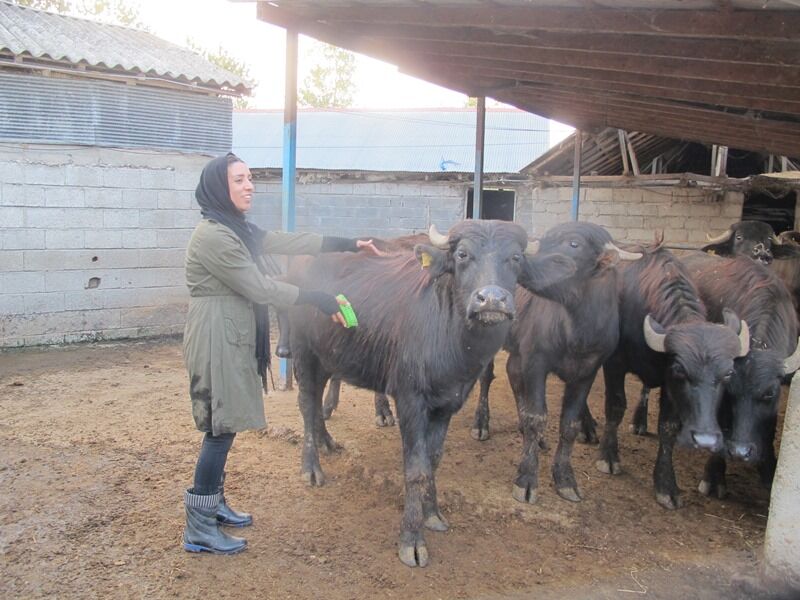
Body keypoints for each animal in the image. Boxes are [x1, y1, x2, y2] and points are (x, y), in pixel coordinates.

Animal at [286, 220, 576, 568]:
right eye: (463, 254)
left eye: (516, 258)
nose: (492, 300)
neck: (450, 335)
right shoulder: (410, 400)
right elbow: (415, 469)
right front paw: (411, 539)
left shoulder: (448, 403)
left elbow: (433, 460)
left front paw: (432, 514)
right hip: (304, 350)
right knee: (306, 403)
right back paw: (311, 468)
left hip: (329, 356)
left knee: (317, 402)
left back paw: (327, 442)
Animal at [476, 223, 636, 504]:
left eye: (574, 244)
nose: (522, 262)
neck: (577, 330)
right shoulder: (536, 362)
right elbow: (537, 417)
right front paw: (526, 478)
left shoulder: (588, 371)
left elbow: (569, 425)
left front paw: (565, 479)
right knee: (488, 377)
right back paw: (482, 424)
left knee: (513, 375)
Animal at [592, 246, 752, 508]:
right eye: (680, 369)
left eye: (728, 373)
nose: (706, 439)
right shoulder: (615, 364)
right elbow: (615, 406)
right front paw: (608, 457)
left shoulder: (669, 384)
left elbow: (668, 427)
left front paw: (666, 486)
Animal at [680, 253, 800, 496]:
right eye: (729, 392)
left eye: (769, 394)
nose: (739, 451)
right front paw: (713, 476)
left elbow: (769, 428)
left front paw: (769, 470)